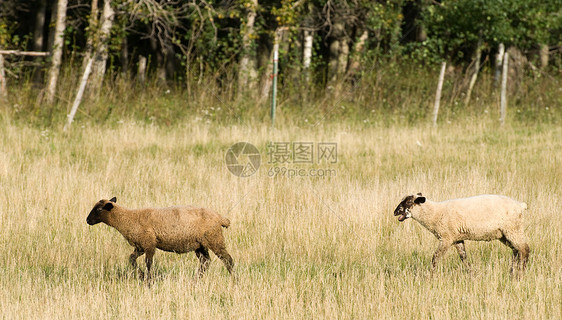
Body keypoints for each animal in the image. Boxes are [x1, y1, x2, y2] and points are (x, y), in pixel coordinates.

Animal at [85, 198, 232, 282]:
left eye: (99, 209)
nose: (87, 220)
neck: (128, 219)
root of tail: (221, 218)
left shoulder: (149, 244)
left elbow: (149, 263)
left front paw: (149, 280)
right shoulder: (140, 246)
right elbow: (131, 259)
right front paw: (141, 275)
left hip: (215, 239)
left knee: (228, 260)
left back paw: (234, 279)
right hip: (200, 245)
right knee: (205, 262)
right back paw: (196, 280)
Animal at [392, 192, 528, 278]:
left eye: (408, 202)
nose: (395, 212)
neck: (434, 213)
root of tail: (520, 205)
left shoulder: (446, 238)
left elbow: (435, 258)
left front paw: (429, 277)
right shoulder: (456, 239)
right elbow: (464, 257)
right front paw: (472, 275)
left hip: (513, 229)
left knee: (524, 250)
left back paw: (520, 274)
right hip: (505, 234)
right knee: (516, 251)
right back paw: (512, 273)